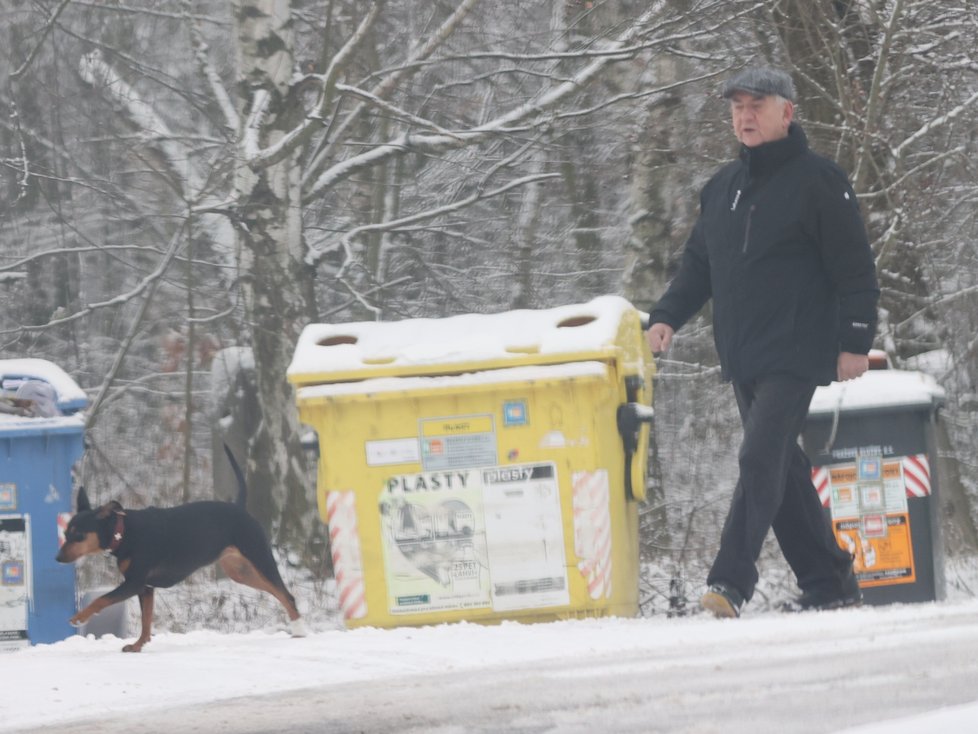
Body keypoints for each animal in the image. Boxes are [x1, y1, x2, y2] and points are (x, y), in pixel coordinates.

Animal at [55, 448, 304, 656]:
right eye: (66, 533)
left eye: (79, 535)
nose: (57, 558)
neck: (123, 533)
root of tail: (239, 508)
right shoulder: (145, 588)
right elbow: (146, 621)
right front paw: (138, 645)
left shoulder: (134, 583)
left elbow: (101, 600)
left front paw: (79, 618)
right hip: (241, 572)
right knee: (280, 593)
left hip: (260, 559)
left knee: (286, 594)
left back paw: (299, 630)